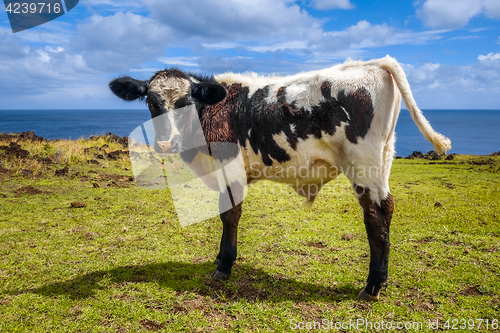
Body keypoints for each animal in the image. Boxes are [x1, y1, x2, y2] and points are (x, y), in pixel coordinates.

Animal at [110, 56, 454, 300]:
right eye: (152, 103)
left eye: (186, 103)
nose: (166, 143)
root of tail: (370, 63)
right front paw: (220, 259)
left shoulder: (230, 166)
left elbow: (230, 213)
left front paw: (224, 266)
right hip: (383, 158)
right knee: (386, 207)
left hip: (363, 163)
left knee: (376, 214)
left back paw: (372, 287)